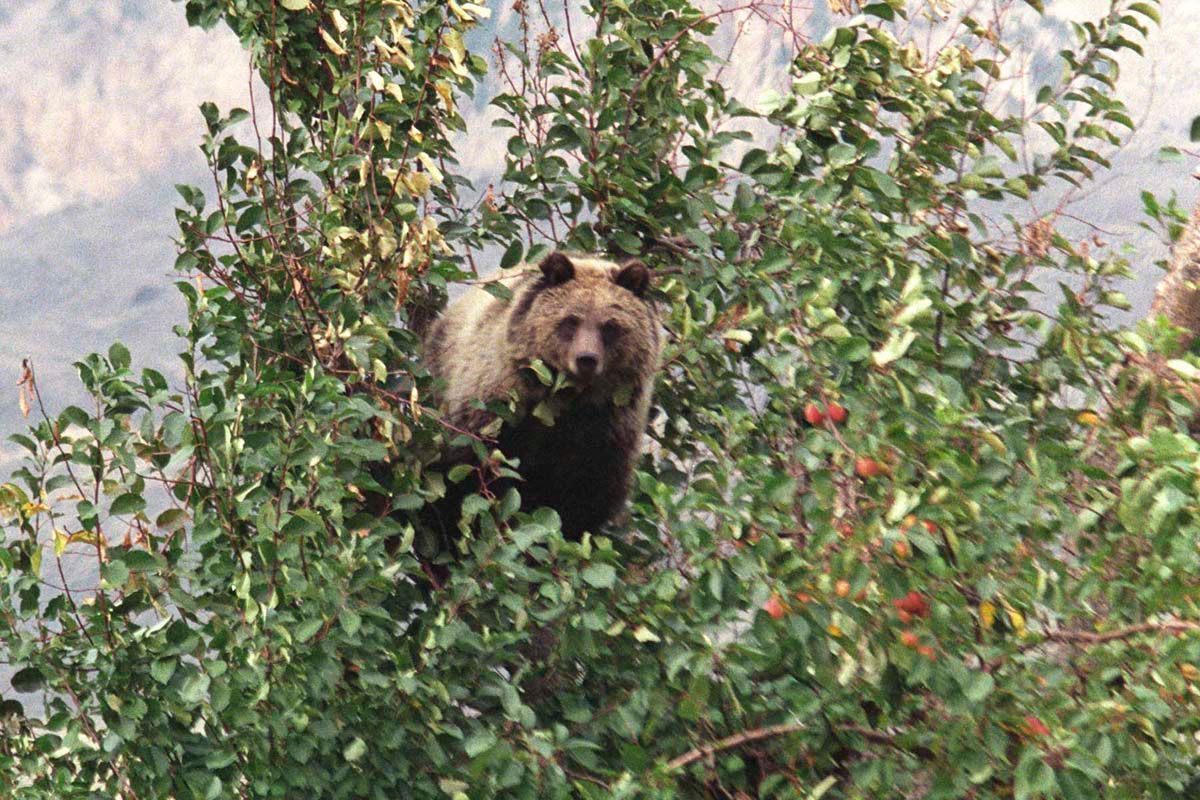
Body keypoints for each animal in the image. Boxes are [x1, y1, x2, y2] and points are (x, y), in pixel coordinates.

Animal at [418, 251, 662, 544]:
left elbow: (585, 501)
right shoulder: (496, 412)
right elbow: (463, 477)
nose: (586, 359)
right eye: (571, 320)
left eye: (610, 326)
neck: (566, 402)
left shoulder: (605, 435)